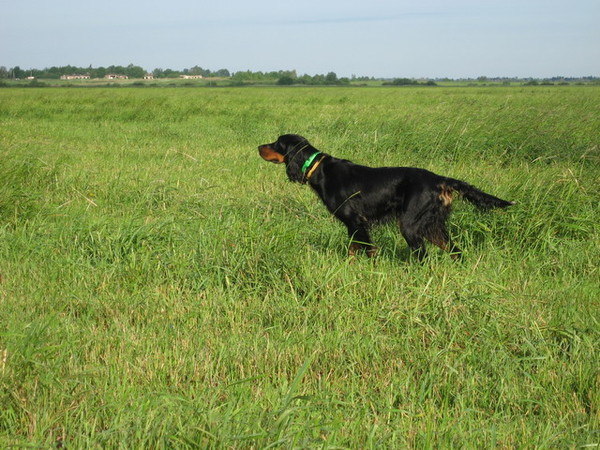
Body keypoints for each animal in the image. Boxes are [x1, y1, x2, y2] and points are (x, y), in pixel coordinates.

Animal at [258, 134, 513, 260]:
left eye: (277, 143)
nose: (259, 146)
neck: (319, 169)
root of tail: (440, 179)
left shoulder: (356, 221)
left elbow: (365, 250)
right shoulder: (354, 225)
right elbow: (353, 251)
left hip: (410, 224)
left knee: (423, 257)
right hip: (433, 225)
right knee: (455, 251)